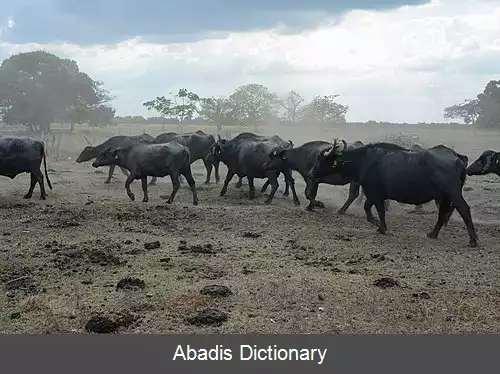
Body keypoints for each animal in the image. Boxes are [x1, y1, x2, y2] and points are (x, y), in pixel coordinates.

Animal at [308, 140, 476, 248]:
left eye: (321, 159)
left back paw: (473, 240)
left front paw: (381, 228)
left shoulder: (374, 192)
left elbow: (379, 210)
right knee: (442, 214)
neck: (364, 160)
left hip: (453, 194)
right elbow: (368, 208)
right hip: (443, 197)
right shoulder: (375, 193)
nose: (310, 173)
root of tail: (457, 157)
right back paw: (432, 234)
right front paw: (375, 222)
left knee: (464, 210)